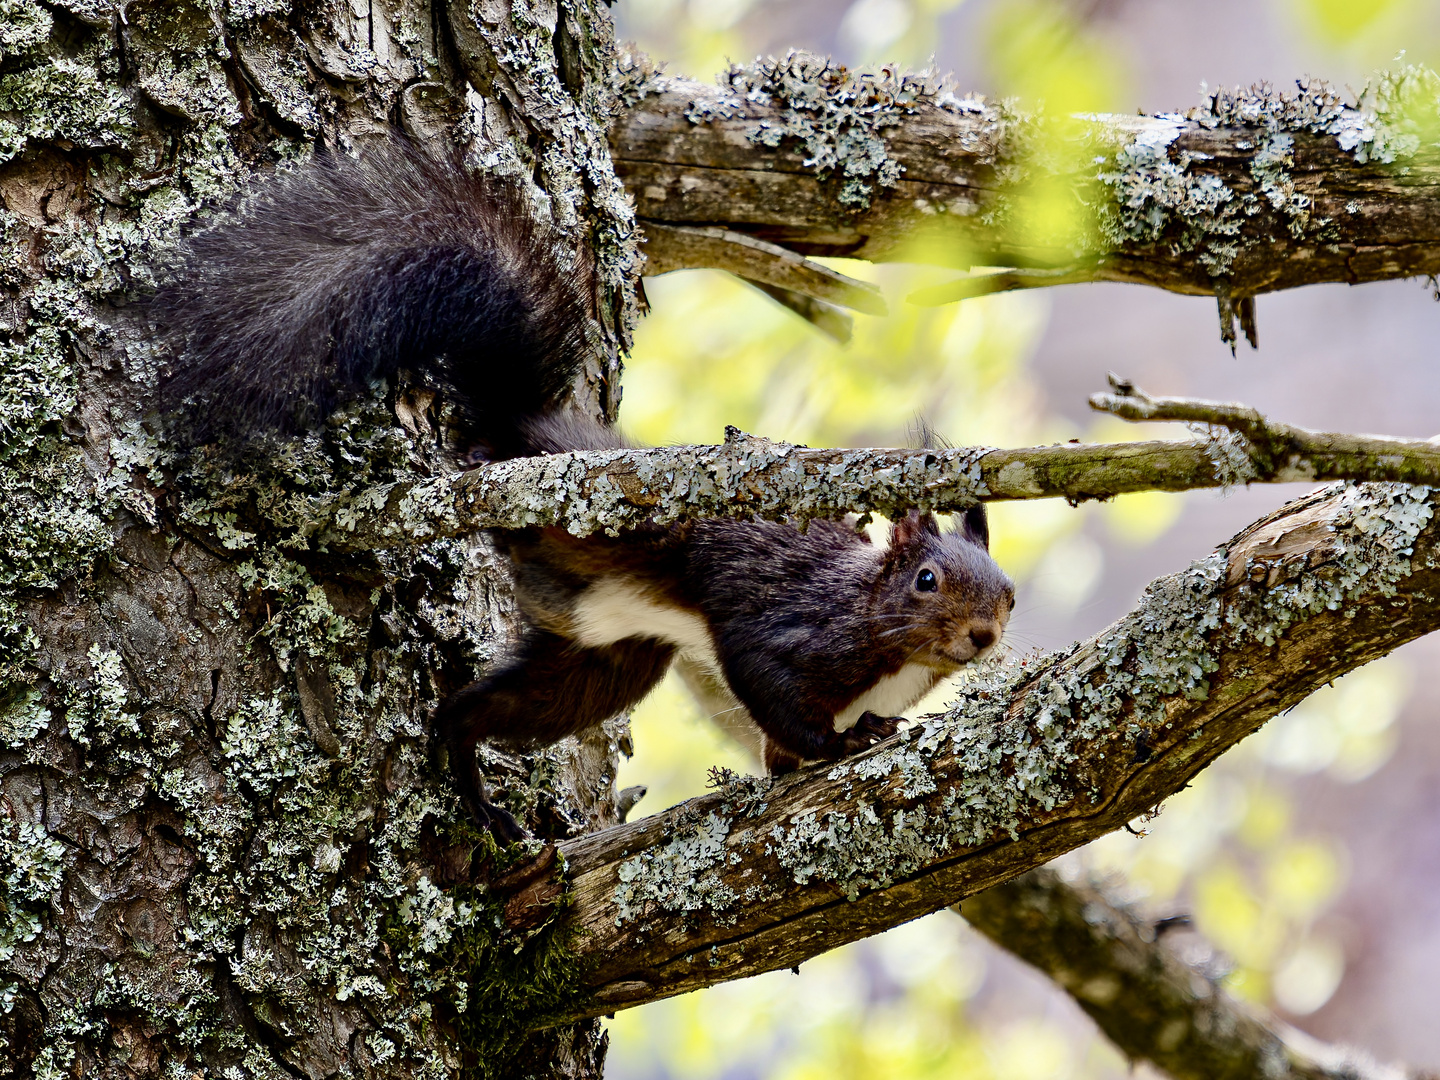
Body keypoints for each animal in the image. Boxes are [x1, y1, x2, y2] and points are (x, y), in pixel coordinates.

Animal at [154, 137, 1013, 846]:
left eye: (1008, 598)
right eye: (927, 579)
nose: (983, 635)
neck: (883, 630)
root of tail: (530, 423)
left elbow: (779, 751)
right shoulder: (792, 631)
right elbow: (770, 686)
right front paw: (841, 744)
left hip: (602, 658)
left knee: (475, 709)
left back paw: (469, 776)